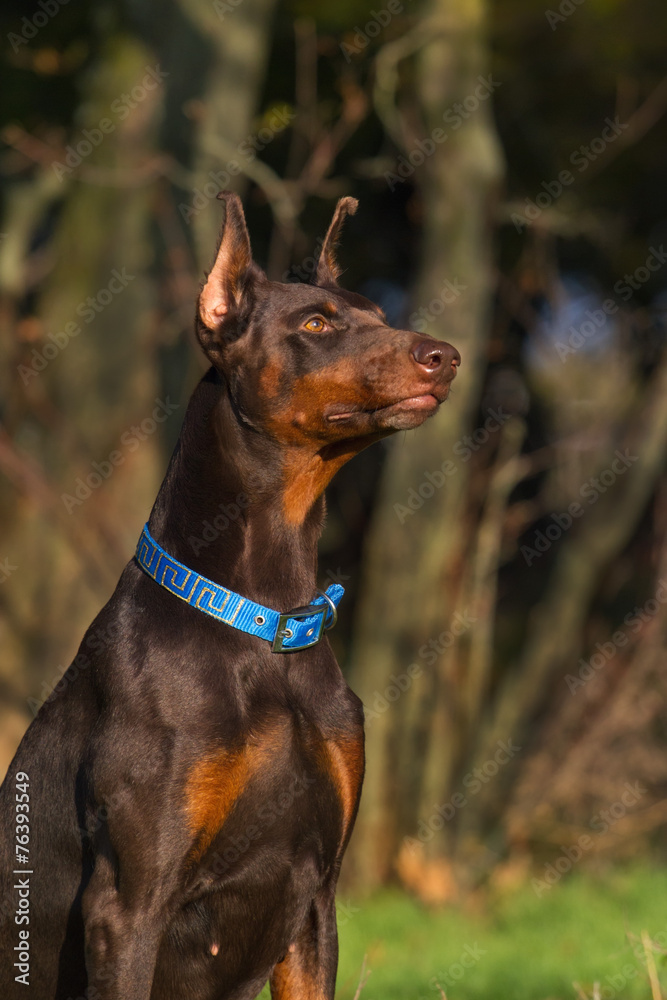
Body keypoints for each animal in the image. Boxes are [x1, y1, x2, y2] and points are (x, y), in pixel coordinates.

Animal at [0, 191, 460, 996]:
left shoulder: (316, 900)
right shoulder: (128, 904)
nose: (446, 355)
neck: (263, 620)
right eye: (316, 324)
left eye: (377, 313)